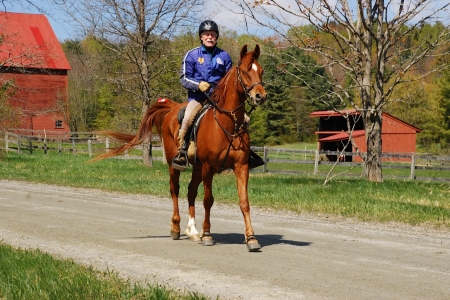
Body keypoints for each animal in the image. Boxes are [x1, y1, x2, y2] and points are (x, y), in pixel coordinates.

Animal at [92, 44, 266, 251]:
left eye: (261, 70)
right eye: (245, 71)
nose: (260, 96)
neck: (227, 123)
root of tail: (171, 108)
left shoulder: (241, 167)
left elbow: (244, 202)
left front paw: (251, 238)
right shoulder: (208, 167)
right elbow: (208, 200)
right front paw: (208, 234)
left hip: (197, 167)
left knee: (190, 191)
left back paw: (193, 231)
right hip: (174, 165)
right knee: (175, 190)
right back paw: (176, 227)